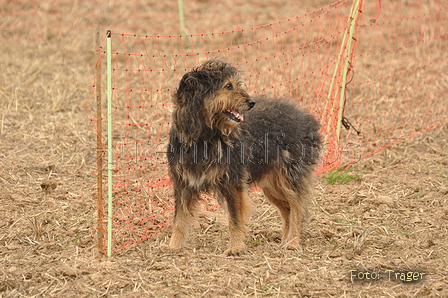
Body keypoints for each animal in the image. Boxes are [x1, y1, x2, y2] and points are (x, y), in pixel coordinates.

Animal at [166, 60, 320, 256]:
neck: (205, 137)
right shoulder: (184, 184)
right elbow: (179, 219)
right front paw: (173, 247)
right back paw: (284, 242)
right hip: (272, 186)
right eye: (228, 86)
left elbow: (235, 219)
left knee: (296, 209)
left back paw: (292, 242)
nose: (251, 102)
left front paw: (235, 248)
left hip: (290, 179)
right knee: (287, 212)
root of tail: (306, 119)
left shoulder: (232, 182)